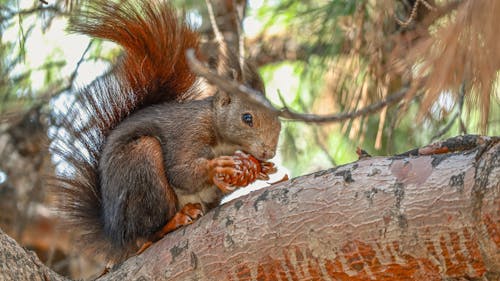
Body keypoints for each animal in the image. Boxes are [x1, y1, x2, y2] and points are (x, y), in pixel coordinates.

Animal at [54, 0, 284, 262]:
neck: (223, 138)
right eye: (247, 118)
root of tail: (114, 232)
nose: (268, 153)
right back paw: (174, 221)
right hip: (142, 167)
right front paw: (218, 167)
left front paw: (257, 169)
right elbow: (180, 171)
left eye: (279, 123)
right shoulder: (188, 131)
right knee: (146, 233)